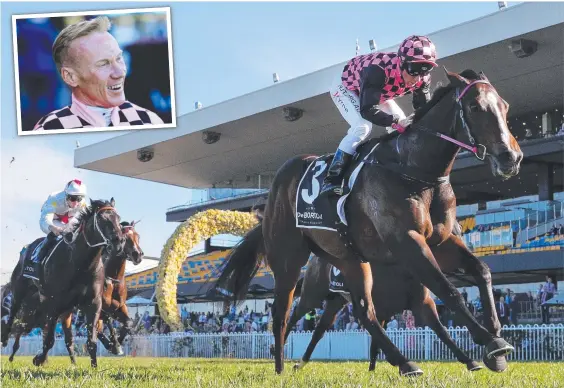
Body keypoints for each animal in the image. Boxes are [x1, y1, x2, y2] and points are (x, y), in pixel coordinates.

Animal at [284, 256, 482, 372]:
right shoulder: (373, 304)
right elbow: (377, 334)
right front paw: (401, 364)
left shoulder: (421, 303)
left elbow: (442, 332)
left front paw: (469, 360)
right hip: (313, 294)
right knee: (294, 315)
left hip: (335, 302)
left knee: (319, 331)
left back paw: (301, 362)